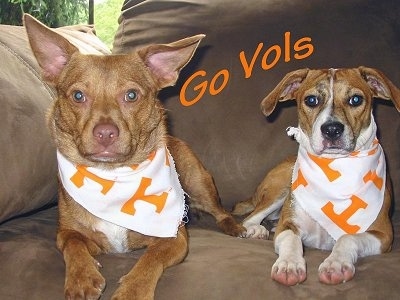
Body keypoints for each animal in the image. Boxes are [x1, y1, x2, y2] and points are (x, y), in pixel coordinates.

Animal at [23, 14, 245, 300]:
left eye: (131, 95)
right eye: (78, 96)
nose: (105, 132)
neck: (113, 178)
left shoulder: (174, 238)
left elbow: (150, 259)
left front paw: (133, 289)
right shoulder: (67, 233)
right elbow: (73, 243)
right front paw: (82, 277)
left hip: (199, 180)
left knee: (221, 211)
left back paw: (236, 227)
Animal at [233, 67, 400, 286]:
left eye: (355, 99)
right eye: (311, 100)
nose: (332, 129)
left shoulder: (383, 235)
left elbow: (348, 238)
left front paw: (335, 264)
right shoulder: (288, 226)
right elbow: (291, 239)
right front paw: (289, 264)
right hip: (282, 185)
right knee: (250, 217)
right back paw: (257, 229)